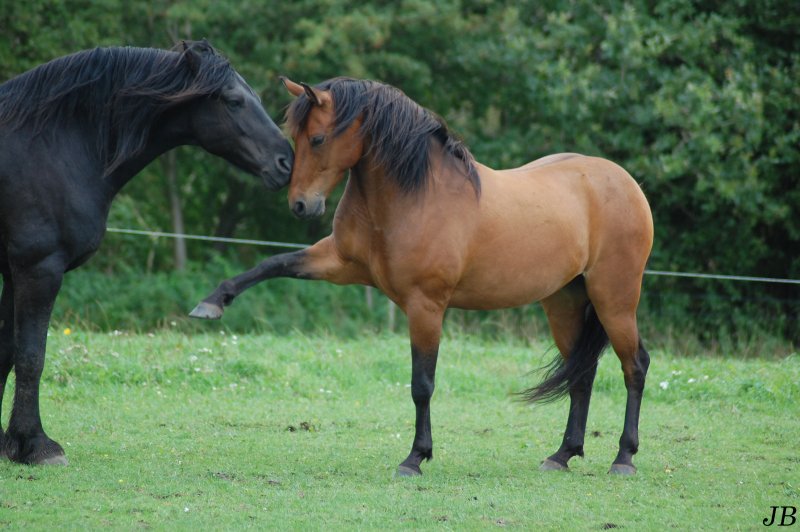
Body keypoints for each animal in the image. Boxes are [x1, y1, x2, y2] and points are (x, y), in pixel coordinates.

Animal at [0, 40, 294, 465]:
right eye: (233, 100)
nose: (286, 161)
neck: (51, 146)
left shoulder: (12, 271)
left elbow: (5, 352)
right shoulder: (38, 268)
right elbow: (30, 356)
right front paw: (35, 444)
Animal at [191, 76, 654, 477]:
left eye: (317, 139)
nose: (302, 205)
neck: (415, 196)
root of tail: (624, 181)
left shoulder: (425, 306)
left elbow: (422, 384)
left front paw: (415, 457)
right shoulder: (338, 263)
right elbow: (273, 265)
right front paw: (213, 302)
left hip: (614, 299)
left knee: (634, 366)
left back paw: (624, 458)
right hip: (563, 302)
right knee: (583, 373)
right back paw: (562, 455)